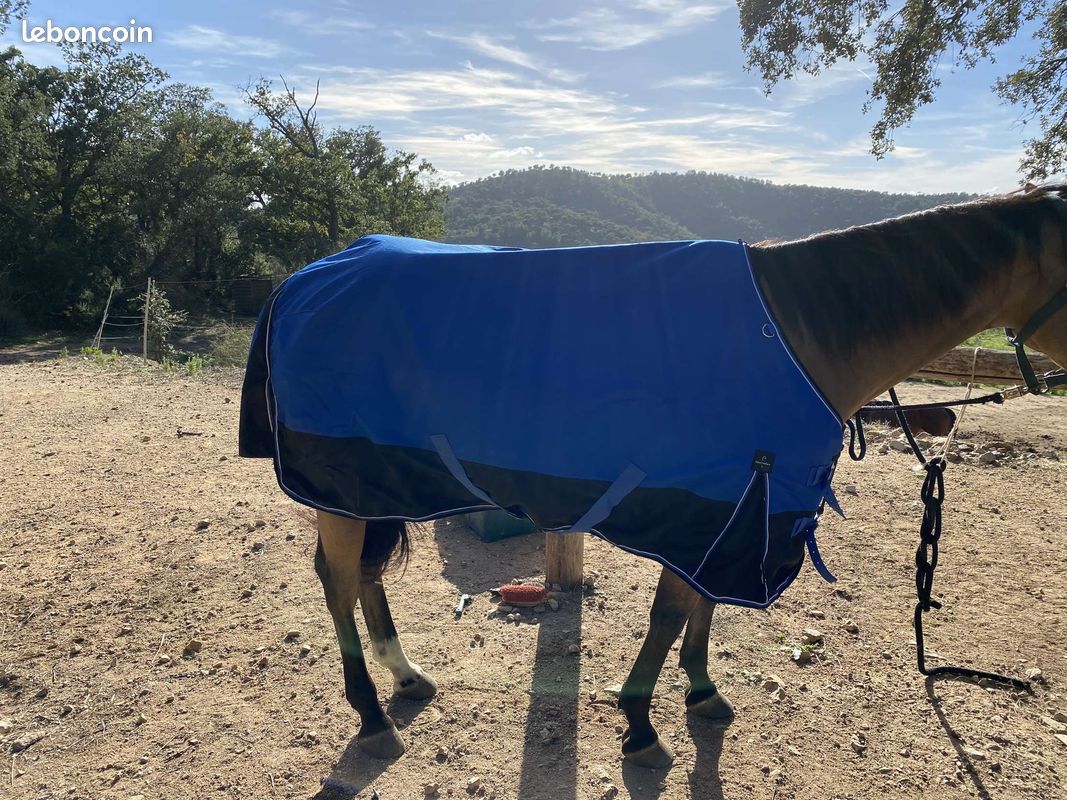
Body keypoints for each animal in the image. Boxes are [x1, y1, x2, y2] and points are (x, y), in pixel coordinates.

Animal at [241, 183, 1067, 769]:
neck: (799, 334)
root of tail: (303, 278)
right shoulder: (708, 510)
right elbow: (670, 615)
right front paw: (640, 725)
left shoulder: (734, 510)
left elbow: (701, 611)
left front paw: (701, 693)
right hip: (339, 479)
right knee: (338, 581)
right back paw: (371, 716)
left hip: (374, 482)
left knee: (364, 576)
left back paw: (406, 676)